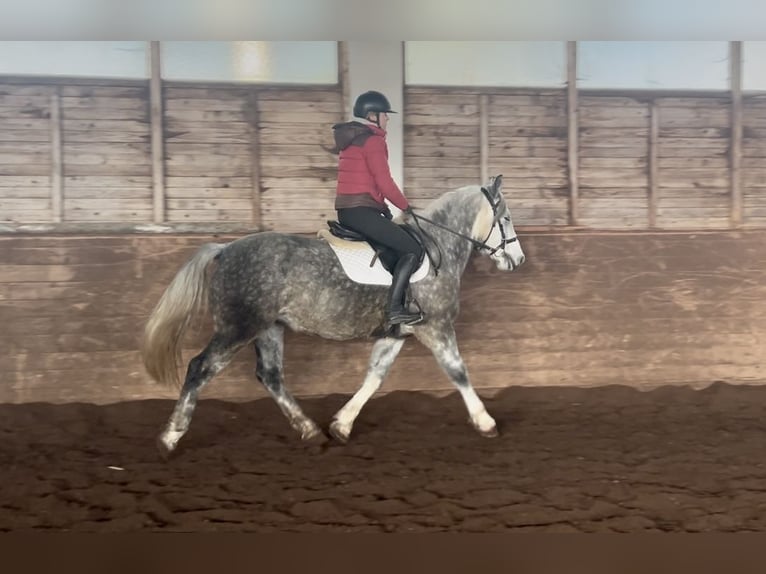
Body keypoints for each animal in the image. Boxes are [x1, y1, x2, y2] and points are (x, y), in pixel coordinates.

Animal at [142, 176, 528, 460]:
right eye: (506, 218)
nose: (519, 260)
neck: (439, 248)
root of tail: (224, 249)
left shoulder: (396, 333)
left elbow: (374, 378)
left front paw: (342, 425)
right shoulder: (436, 328)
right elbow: (458, 372)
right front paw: (486, 422)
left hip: (268, 328)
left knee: (270, 376)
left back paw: (310, 431)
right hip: (238, 327)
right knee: (200, 368)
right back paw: (170, 438)